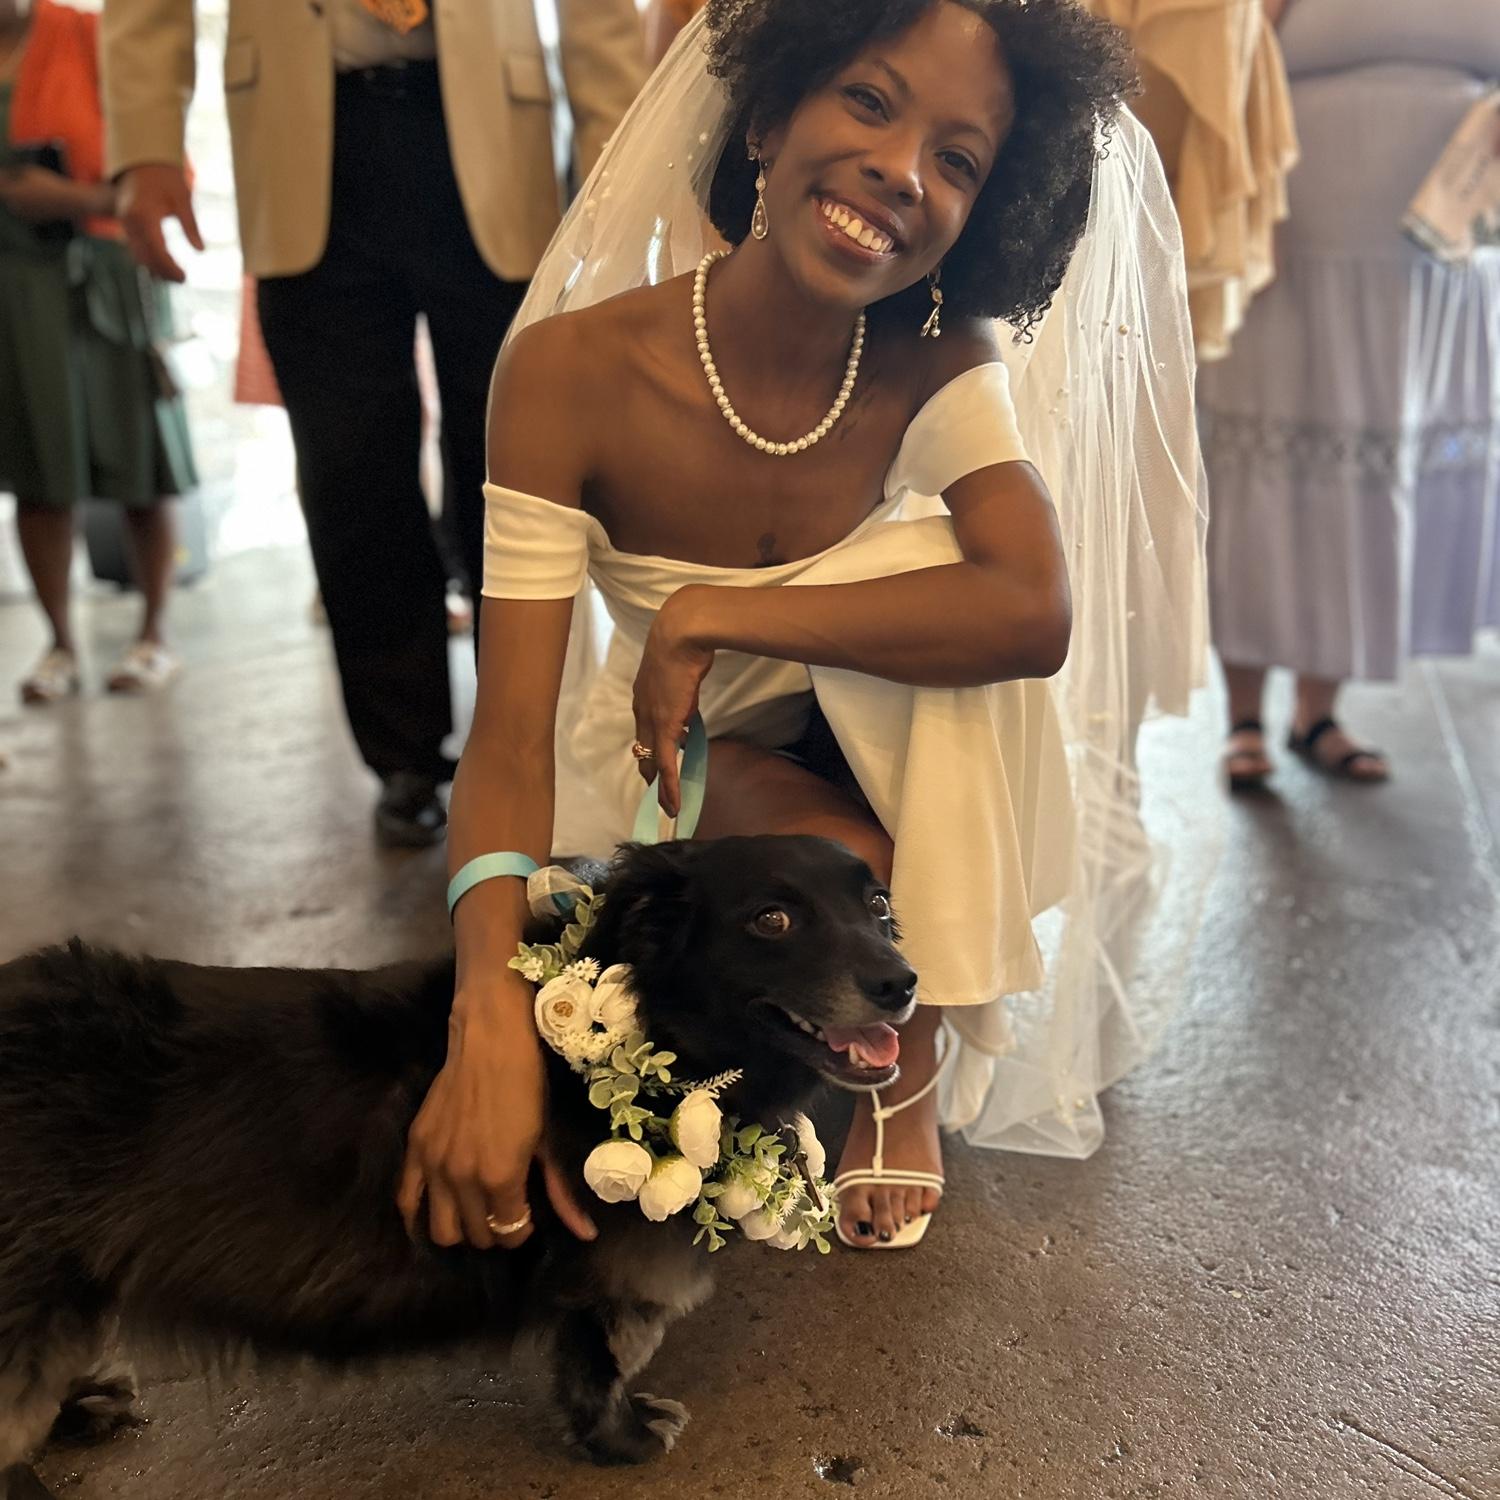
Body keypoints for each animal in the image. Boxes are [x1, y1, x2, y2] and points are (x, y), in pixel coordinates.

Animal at [0, 835, 916, 1491]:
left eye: (878, 905)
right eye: (772, 920)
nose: (902, 982)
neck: (662, 1032)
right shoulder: (606, 1280)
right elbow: (598, 1369)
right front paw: (621, 1439)